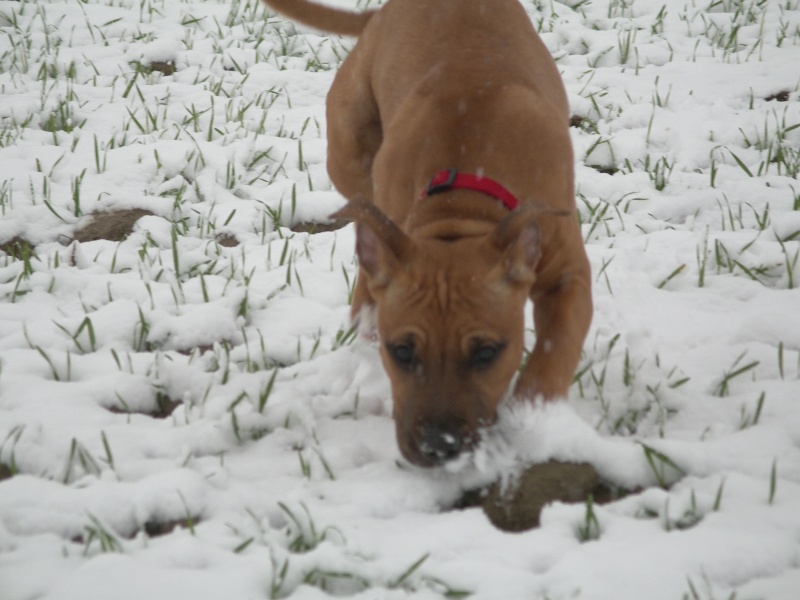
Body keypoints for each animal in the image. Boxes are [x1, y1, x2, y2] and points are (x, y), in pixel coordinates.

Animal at [260, 0, 592, 468]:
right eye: (401, 352)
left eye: (486, 353)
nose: (439, 446)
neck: (462, 203)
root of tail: (378, 14)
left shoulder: (568, 273)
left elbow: (556, 348)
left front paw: (530, 420)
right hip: (348, 151)